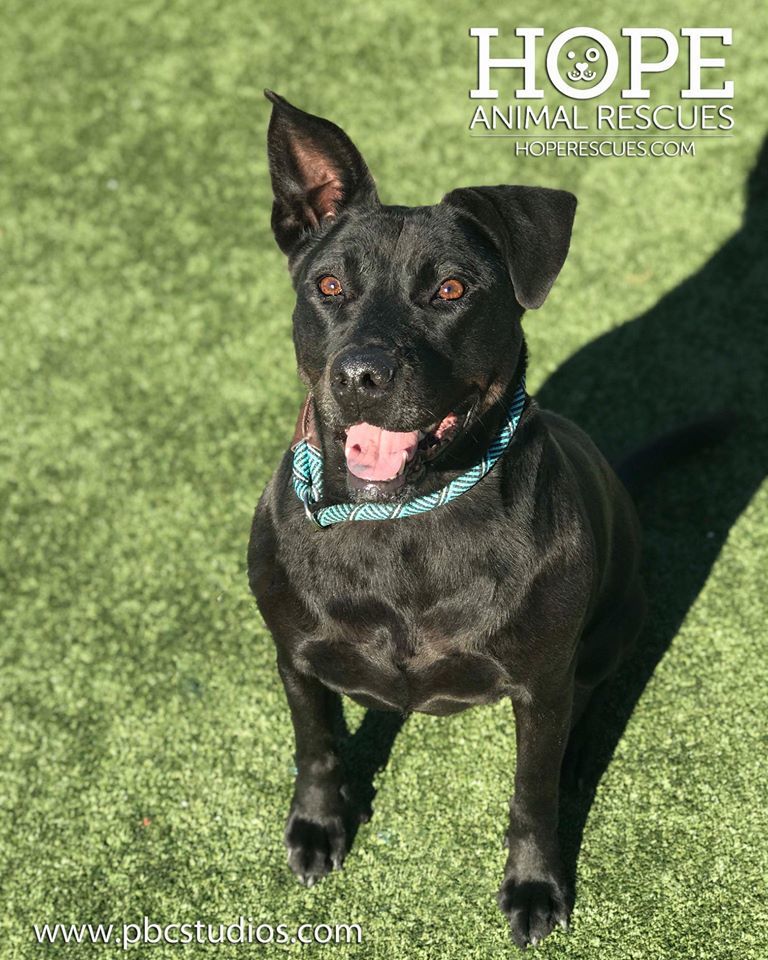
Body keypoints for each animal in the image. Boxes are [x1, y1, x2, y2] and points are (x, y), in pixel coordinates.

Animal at [249, 94, 644, 948]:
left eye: (452, 290)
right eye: (327, 284)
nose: (361, 374)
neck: (401, 520)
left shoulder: (539, 685)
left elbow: (531, 794)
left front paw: (534, 885)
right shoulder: (293, 654)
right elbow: (315, 745)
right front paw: (318, 826)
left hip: (615, 624)